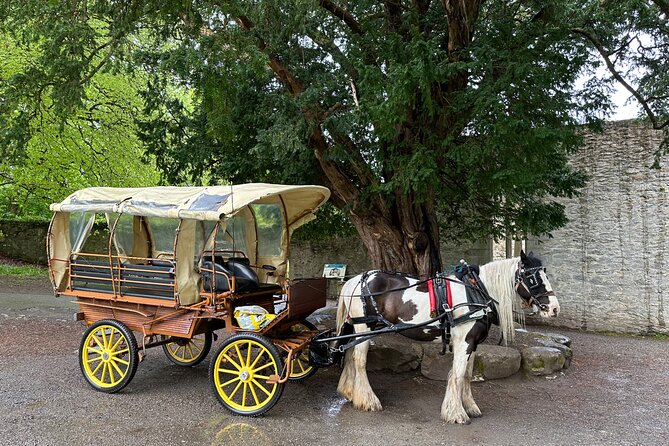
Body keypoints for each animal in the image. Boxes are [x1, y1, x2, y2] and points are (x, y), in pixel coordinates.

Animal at [334, 249, 560, 424]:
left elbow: (467, 375)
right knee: (359, 360)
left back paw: (350, 392)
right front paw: (456, 413)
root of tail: (354, 280)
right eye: (533, 278)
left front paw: (470, 406)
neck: (476, 291)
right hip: (364, 326)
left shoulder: (473, 343)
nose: (554, 309)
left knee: (350, 355)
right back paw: (368, 400)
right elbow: (458, 375)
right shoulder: (464, 342)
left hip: (358, 330)